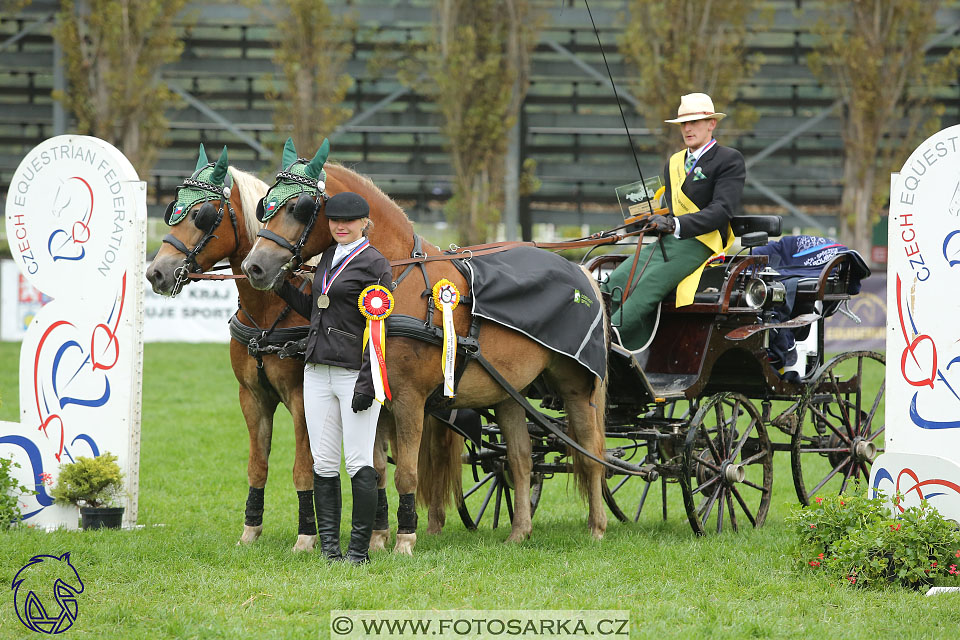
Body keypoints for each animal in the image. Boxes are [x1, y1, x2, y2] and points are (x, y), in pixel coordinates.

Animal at [146, 152, 316, 552]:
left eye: (202, 215)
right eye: (173, 208)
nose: (155, 273)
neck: (269, 312)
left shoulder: (303, 398)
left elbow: (303, 467)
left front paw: (306, 536)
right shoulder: (252, 397)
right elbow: (257, 465)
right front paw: (250, 530)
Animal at [240, 162, 608, 552]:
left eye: (300, 208)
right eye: (265, 206)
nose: (255, 267)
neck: (397, 281)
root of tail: (579, 271)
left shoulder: (409, 400)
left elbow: (406, 472)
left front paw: (404, 540)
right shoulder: (375, 399)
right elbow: (377, 470)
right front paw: (377, 539)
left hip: (576, 387)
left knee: (591, 452)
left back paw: (597, 527)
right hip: (509, 392)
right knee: (521, 460)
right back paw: (519, 530)